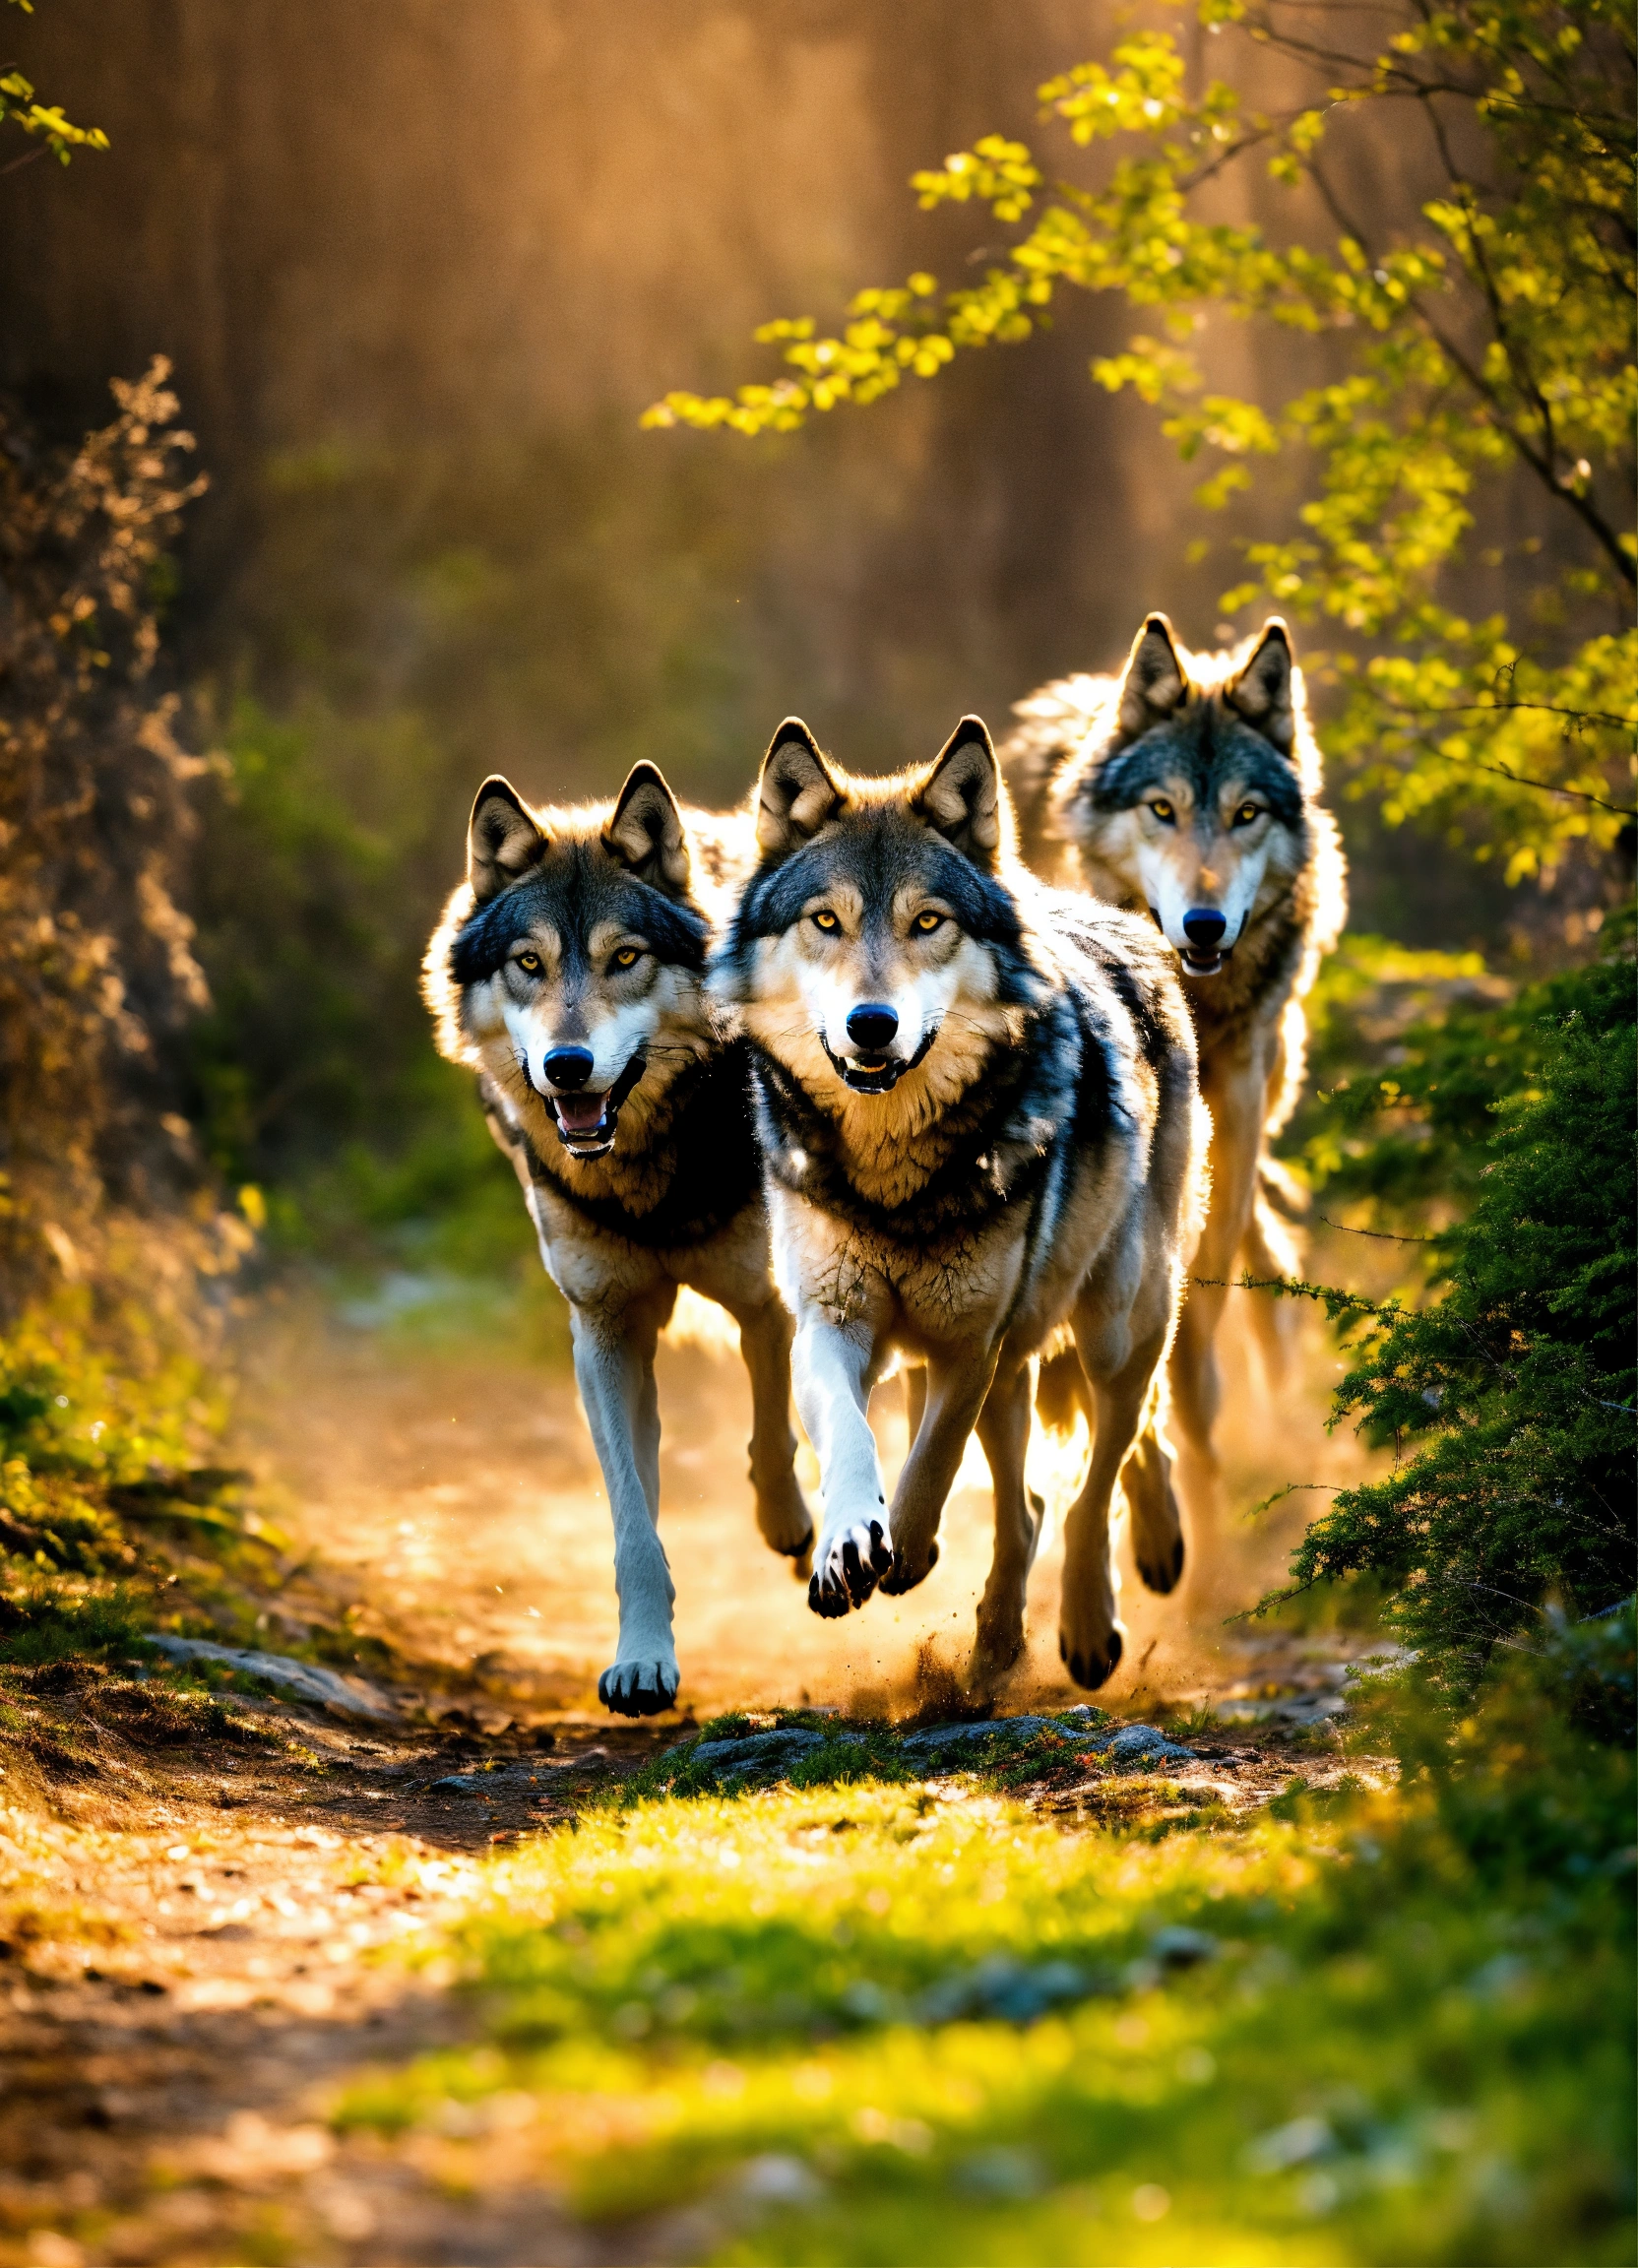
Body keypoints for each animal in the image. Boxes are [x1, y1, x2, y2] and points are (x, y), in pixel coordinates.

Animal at [422, 764, 813, 1716]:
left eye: (623, 958)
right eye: (529, 963)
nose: (567, 1067)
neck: (644, 1175)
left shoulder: (765, 1300)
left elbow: (772, 1433)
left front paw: (790, 1525)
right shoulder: (605, 1329)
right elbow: (635, 1522)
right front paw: (643, 1662)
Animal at [714, 714, 1208, 1693]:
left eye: (927, 922)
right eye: (826, 920)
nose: (872, 1025)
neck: (892, 1174)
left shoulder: (969, 1341)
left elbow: (933, 1461)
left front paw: (901, 1547)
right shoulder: (833, 1321)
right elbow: (853, 1439)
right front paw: (847, 1545)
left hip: (1114, 1326)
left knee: (1102, 1471)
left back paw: (1091, 1620)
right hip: (1025, 1364)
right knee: (1032, 1502)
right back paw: (996, 1644)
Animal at [1001, 616, 1346, 1528]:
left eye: (1245, 813)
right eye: (1163, 809)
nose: (1204, 922)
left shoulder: (1235, 1105)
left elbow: (1200, 1308)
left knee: (1258, 1250)